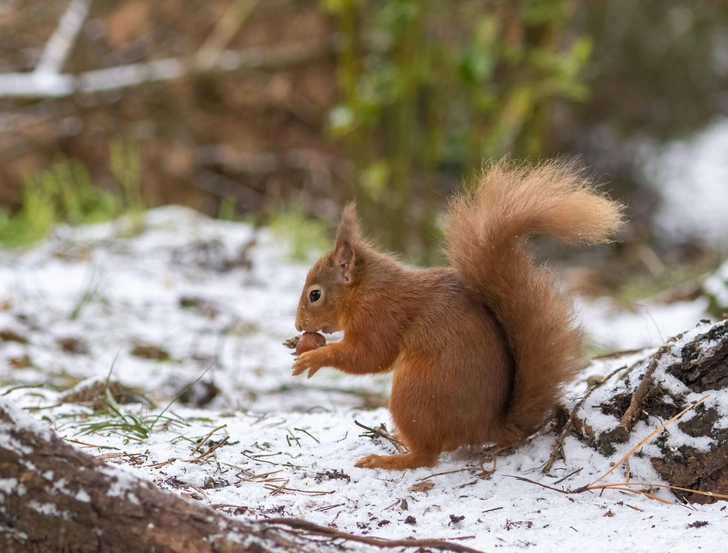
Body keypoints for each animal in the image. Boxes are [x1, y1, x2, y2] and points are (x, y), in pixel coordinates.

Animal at [292, 160, 624, 470]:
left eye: (315, 294)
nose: (297, 325)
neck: (364, 289)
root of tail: (489, 426)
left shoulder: (379, 316)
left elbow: (369, 356)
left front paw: (313, 358)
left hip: (415, 392)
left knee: (426, 456)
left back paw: (388, 459)